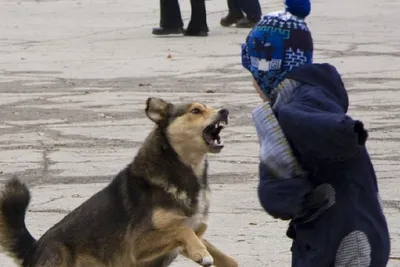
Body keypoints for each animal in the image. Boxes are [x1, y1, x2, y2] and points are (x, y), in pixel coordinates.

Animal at [0, 98, 238, 267]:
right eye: (196, 111)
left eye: (210, 106)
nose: (225, 111)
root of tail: (33, 249)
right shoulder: (138, 245)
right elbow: (181, 231)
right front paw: (201, 254)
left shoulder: (194, 231)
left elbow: (221, 254)